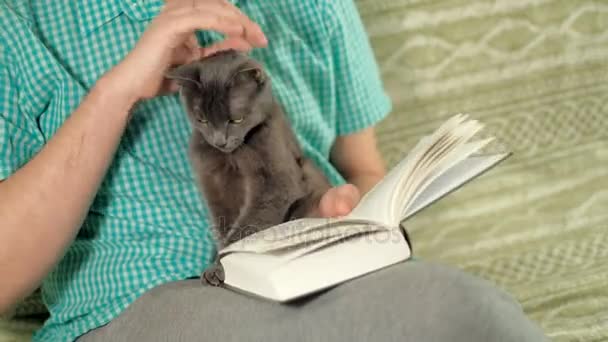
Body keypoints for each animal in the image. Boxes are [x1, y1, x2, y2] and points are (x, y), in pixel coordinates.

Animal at [167, 50, 332, 286]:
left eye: (236, 119)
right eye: (202, 119)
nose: (220, 141)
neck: (231, 157)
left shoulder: (275, 184)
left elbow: (245, 228)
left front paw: (219, 267)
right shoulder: (214, 189)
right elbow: (223, 227)